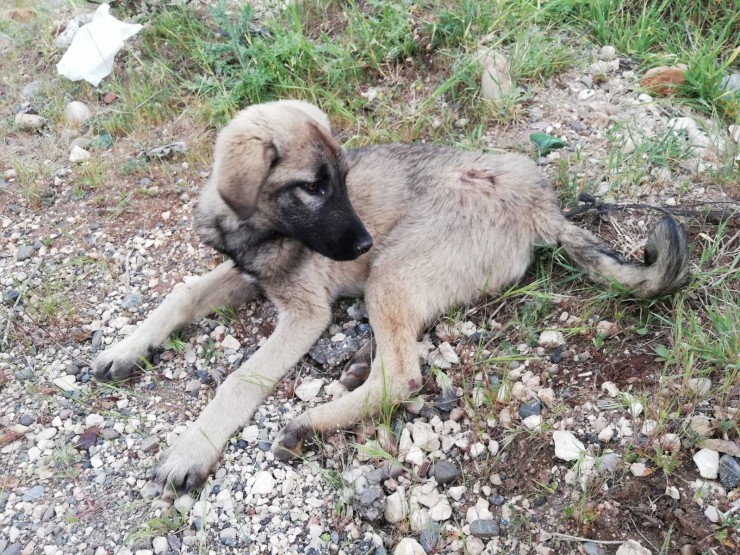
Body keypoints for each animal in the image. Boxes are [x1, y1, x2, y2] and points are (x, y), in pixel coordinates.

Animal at [91, 100, 688, 500]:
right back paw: (354, 367)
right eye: (314, 186)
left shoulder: (305, 311)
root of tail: (542, 205)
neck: (260, 228)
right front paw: (125, 348)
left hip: (391, 273)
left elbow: (239, 380)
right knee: (390, 357)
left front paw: (191, 448)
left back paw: (312, 422)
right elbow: (180, 294)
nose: (362, 243)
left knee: (403, 374)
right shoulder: (250, 272)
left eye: (343, 181)